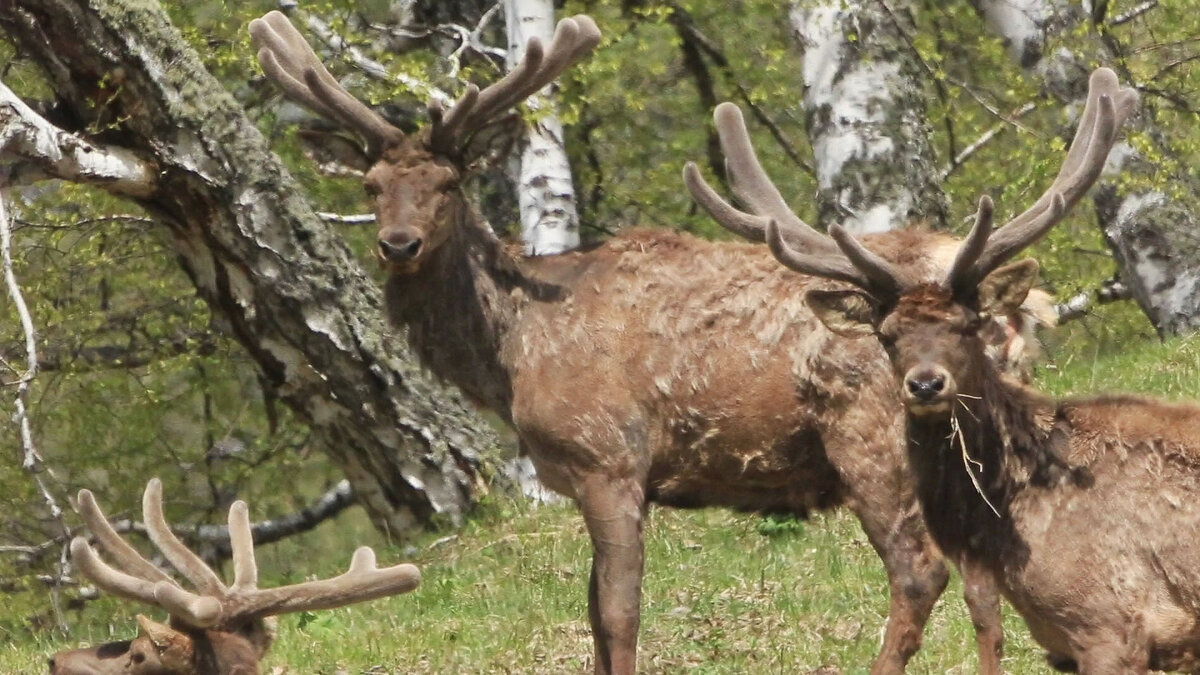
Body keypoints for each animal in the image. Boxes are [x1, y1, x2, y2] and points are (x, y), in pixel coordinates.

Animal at [246, 11, 1060, 672]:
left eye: (448, 184)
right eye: (372, 187)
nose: (398, 243)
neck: (512, 349)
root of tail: (1019, 308)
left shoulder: (609, 456)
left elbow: (617, 612)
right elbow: (592, 615)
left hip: (873, 432)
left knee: (920, 568)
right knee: (980, 569)